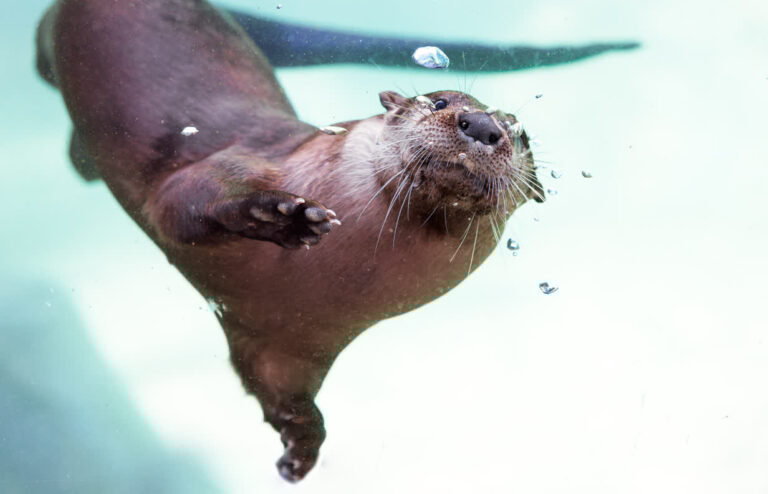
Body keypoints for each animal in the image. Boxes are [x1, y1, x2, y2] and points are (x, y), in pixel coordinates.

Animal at [36, 0, 544, 482]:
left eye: (522, 137)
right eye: (438, 101)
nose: (481, 124)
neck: (310, 282)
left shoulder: (286, 345)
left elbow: (282, 397)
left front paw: (300, 449)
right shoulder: (224, 166)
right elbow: (186, 201)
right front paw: (283, 216)